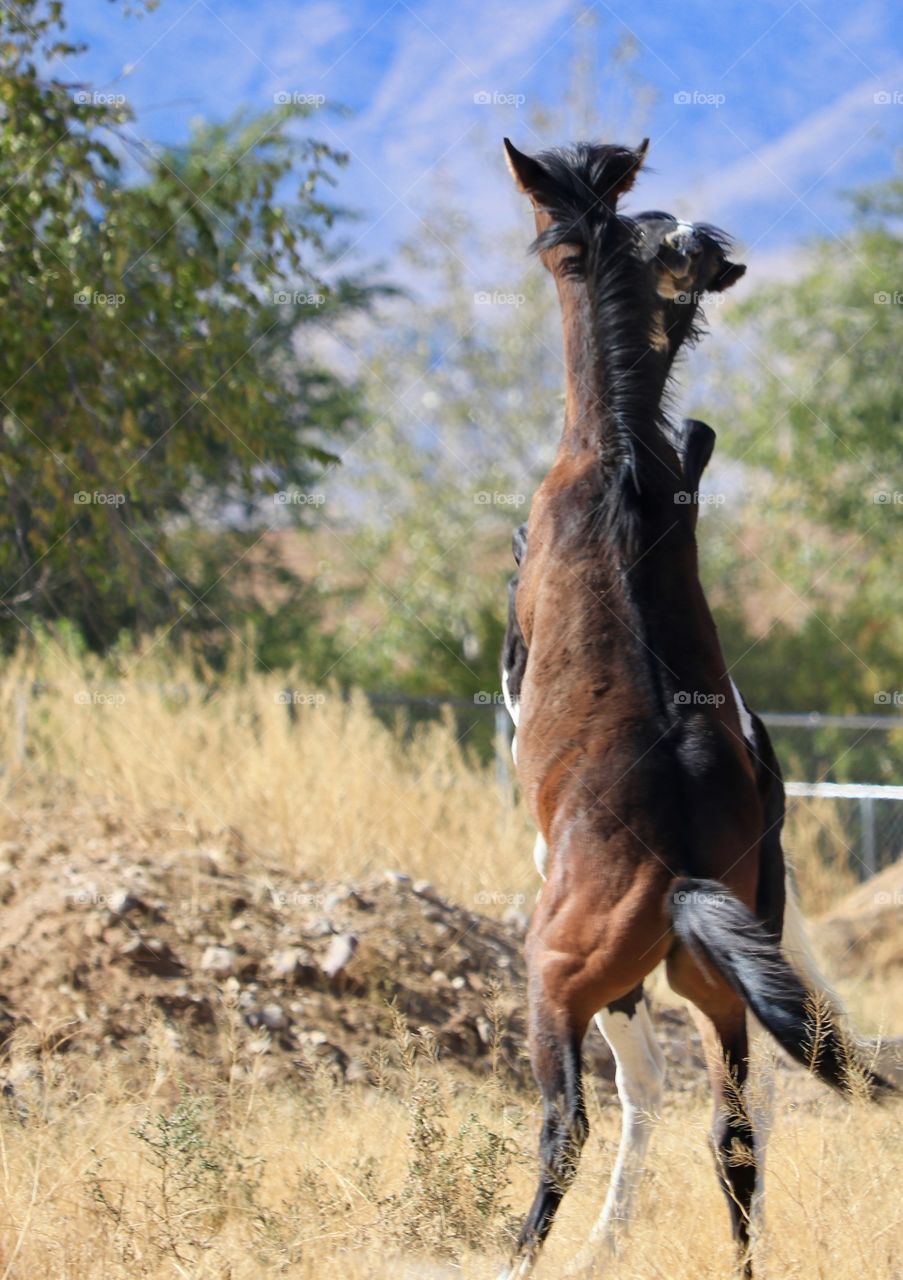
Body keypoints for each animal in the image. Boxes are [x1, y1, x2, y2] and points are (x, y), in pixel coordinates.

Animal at [499, 140, 886, 1280]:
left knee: (571, 1122)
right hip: (718, 996)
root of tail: (677, 877)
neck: (620, 456)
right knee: (735, 1134)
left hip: (557, 987)